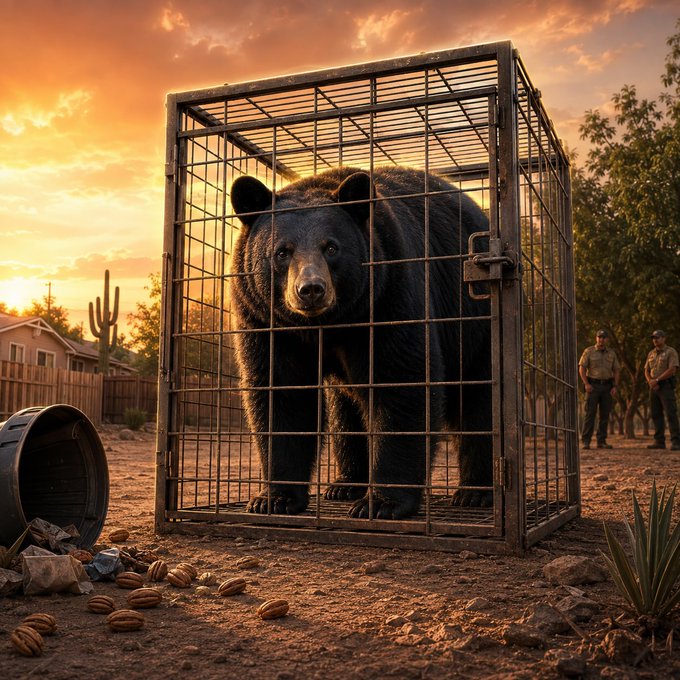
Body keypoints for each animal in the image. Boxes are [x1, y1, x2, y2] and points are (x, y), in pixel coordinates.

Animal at [229, 166, 492, 520]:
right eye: (282, 251)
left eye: (331, 247)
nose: (310, 289)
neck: (328, 325)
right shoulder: (266, 321)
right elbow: (281, 393)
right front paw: (273, 498)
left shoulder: (390, 295)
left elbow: (403, 380)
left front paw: (381, 503)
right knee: (346, 413)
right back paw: (344, 484)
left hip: (476, 318)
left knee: (481, 402)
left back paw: (475, 492)